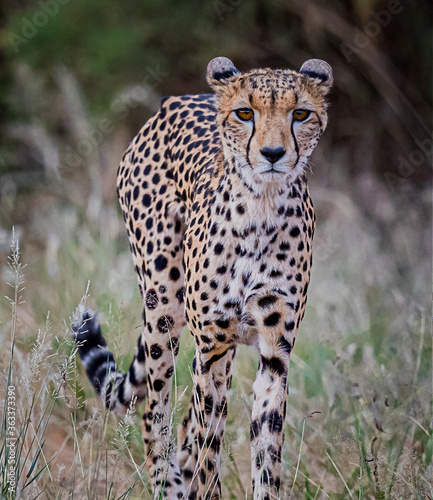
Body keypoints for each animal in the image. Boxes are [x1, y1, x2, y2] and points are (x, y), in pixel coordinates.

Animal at [73, 56, 330, 498]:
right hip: (164, 307)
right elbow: (208, 448)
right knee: (155, 414)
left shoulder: (274, 353)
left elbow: (265, 448)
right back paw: (169, 485)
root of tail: (173, 100)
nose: (273, 153)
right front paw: (205, 487)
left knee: (183, 425)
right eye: (245, 113)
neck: (261, 206)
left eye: (300, 114)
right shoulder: (210, 349)